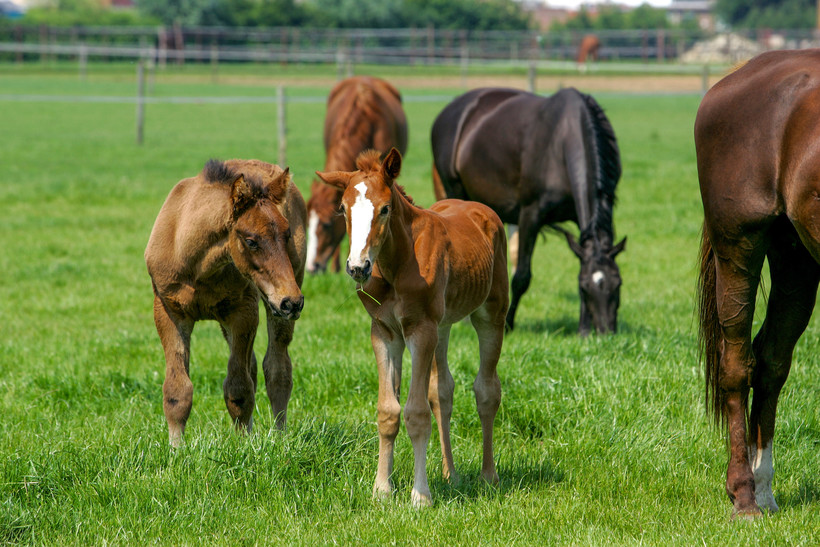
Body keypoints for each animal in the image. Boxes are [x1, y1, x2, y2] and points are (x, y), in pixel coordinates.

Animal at [146, 157, 306, 446]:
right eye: (251, 241)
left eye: (287, 234)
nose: (293, 301)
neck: (197, 265)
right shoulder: (168, 311)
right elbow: (177, 390)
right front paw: (176, 448)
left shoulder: (243, 313)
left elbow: (238, 389)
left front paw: (243, 445)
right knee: (253, 366)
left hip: (276, 306)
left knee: (277, 370)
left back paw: (279, 437)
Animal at [318, 148, 510, 508]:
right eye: (342, 209)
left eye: (384, 208)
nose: (357, 267)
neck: (396, 263)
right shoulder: (384, 332)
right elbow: (389, 411)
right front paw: (382, 490)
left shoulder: (421, 330)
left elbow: (416, 412)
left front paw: (420, 496)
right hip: (443, 326)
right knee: (442, 390)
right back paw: (451, 475)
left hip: (490, 313)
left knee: (487, 389)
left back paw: (488, 476)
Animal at [432, 86, 624, 334]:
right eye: (585, 287)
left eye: (618, 283)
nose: (606, 332)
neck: (563, 139)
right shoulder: (530, 216)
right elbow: (522, 276)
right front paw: (507, 325)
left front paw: (583, 330)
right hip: (454, 189)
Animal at [696, 49, 820, 520]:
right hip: (740, 246)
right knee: (736, 366)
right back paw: (745, 495)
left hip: (796, 258)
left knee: (771, 362)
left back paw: (763, 489)